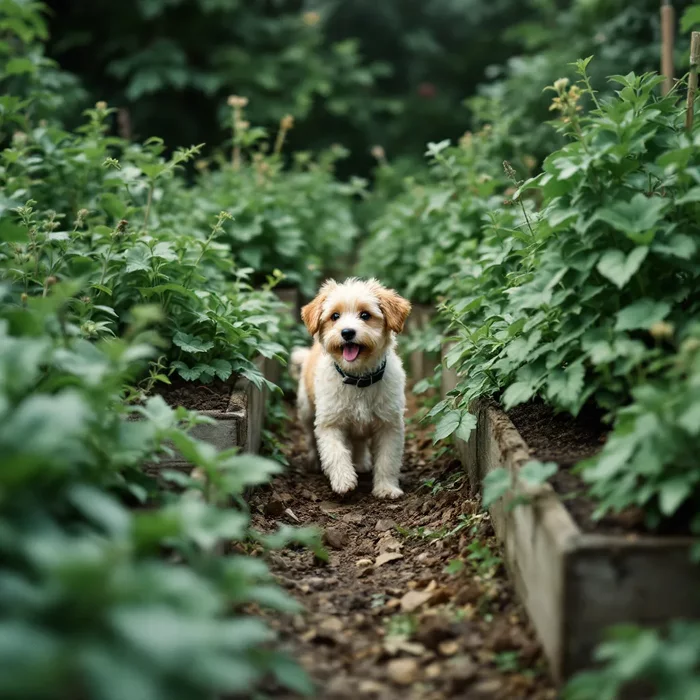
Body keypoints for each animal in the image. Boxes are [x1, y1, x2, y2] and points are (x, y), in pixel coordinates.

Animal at [292, 278, 412, 498]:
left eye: (365, 315)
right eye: (335, 316)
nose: (347, 332)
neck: (358, 378)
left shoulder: (390, 425)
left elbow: (388, 460)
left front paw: (386, 488)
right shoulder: (329, 423)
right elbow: (335, 452)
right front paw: (343, 481)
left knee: (359, 443)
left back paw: (362, 462)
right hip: (306, 410)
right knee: (311, 438)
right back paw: (314, 462)